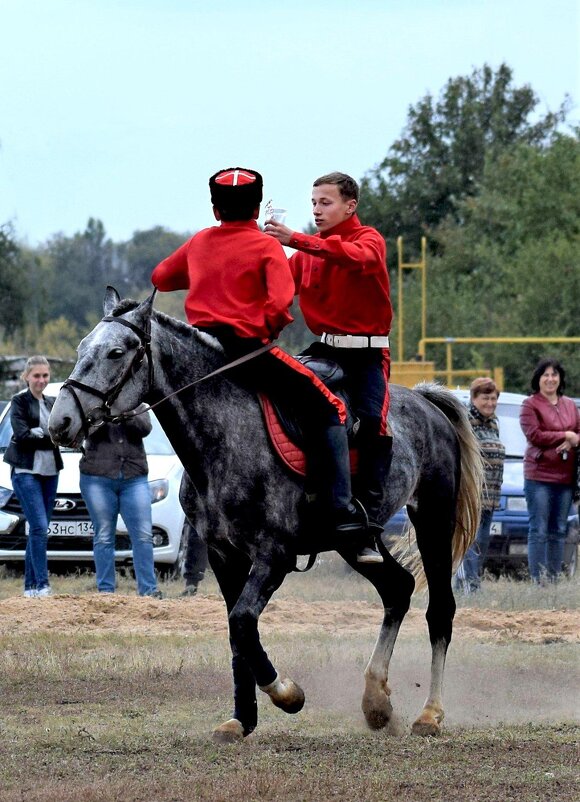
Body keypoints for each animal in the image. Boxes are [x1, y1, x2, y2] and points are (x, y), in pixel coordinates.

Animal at [51, 284, 484, 740]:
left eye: (117, 352)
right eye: (82, 347)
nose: (60, 420)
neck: (228, 434)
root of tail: (424, 401)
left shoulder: (274, 555)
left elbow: (243, 621)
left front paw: (286, 694)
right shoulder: (223, 555)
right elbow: (236, 631)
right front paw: (242, 718)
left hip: (434, 520)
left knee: (439, 609)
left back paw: (430, 713)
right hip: (355, 542)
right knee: (397, 588)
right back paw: (376, 702)